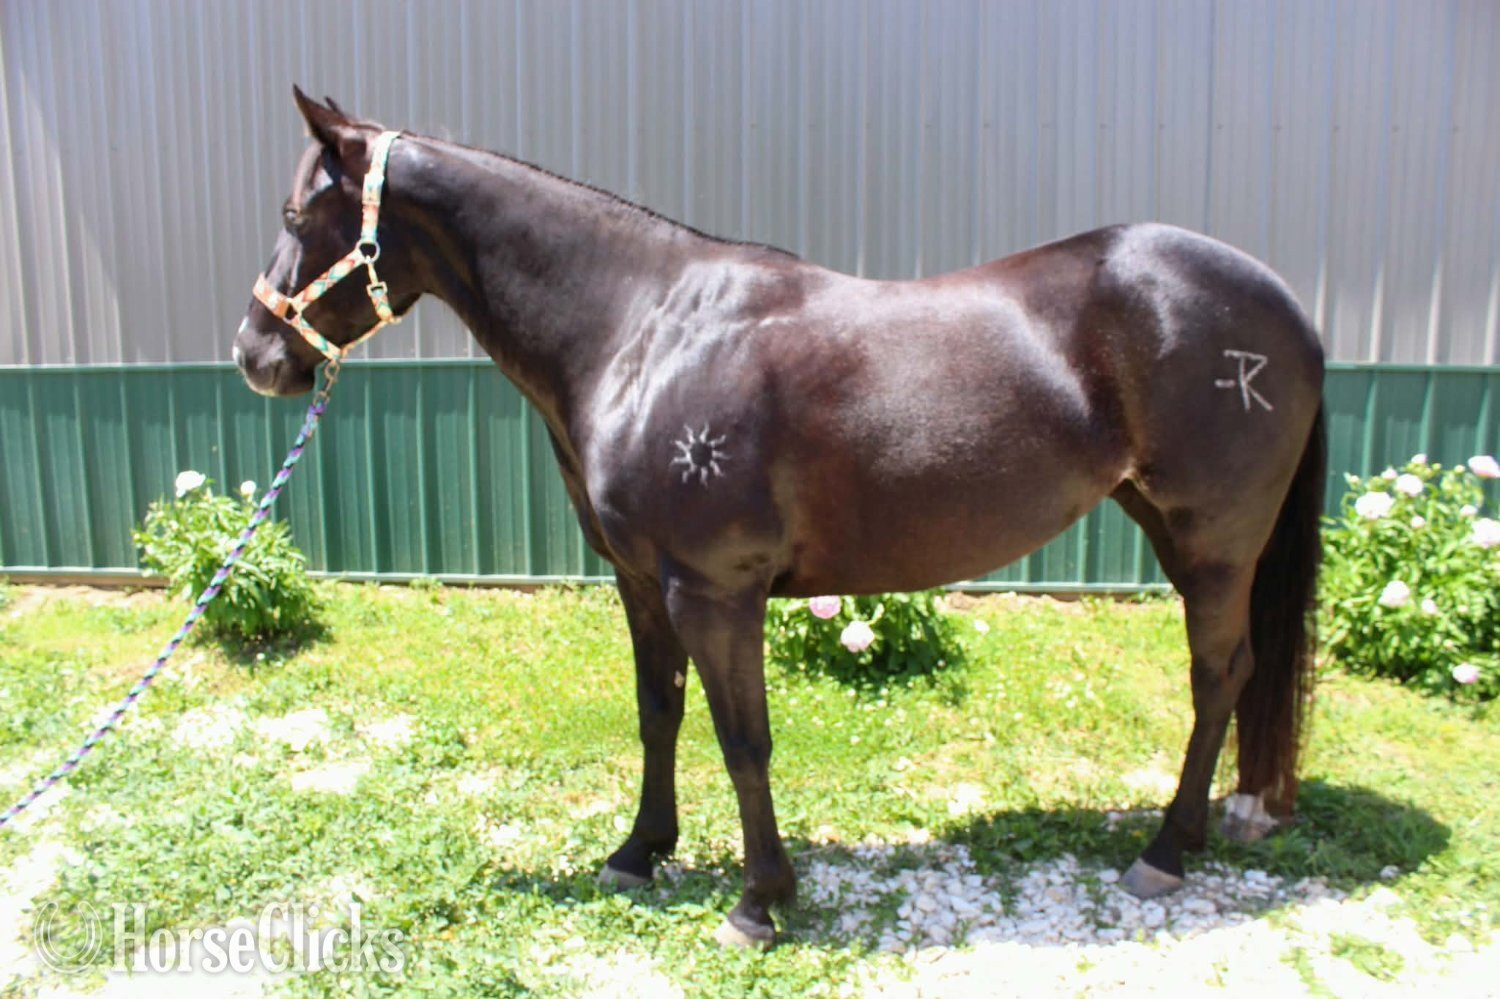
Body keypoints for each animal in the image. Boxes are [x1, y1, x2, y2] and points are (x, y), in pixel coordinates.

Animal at [235, 88, 1325, 948]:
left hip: (1214, 543)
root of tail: (1286, 309)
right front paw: (639, 852)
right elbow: (660, 714)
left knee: (1218, 674)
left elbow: (742, 738)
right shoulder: (643, 581)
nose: (255, 354)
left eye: (295, 212)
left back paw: (1165, 850)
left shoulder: (717, 589)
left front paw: (759, 902)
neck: (642, 329)